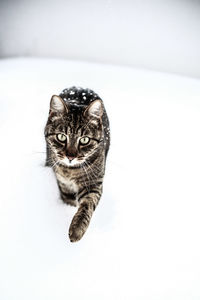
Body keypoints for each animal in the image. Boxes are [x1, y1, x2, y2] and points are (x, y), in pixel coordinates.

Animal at [44, 86, 110, 241]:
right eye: (61, 137)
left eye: (84, 140)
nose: (70, 156)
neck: (71, 170)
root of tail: (78, 86)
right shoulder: (64, 184)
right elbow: (68, 199)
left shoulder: (93, 183)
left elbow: (87, 205)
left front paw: (77, 229)